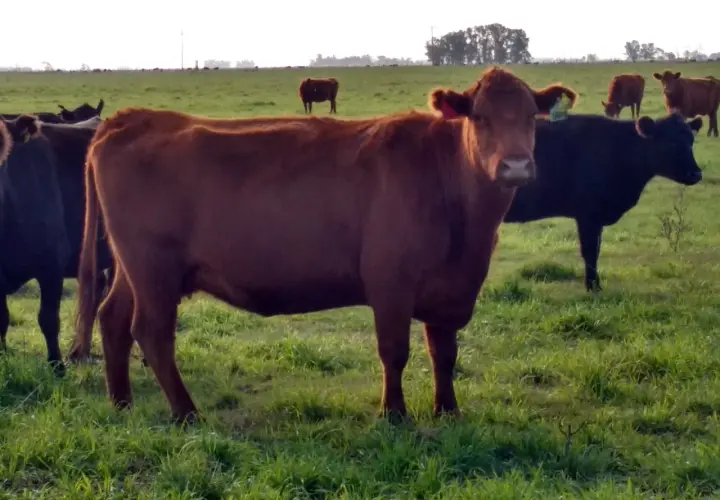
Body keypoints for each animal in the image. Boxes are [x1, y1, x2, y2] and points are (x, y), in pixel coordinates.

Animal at [71, 67, 576, 424]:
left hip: (133, 268)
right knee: (153, 333)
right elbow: (394, 351)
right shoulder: (390, 283)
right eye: (481, 117)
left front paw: (447, 411)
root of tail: (129, 119)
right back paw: (187, 413)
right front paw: (394, 415)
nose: (515, 166)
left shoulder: (449, 288)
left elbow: (444, 353)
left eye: (531, 117)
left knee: (113, 320)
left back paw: (122, 403)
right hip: (154, 269)